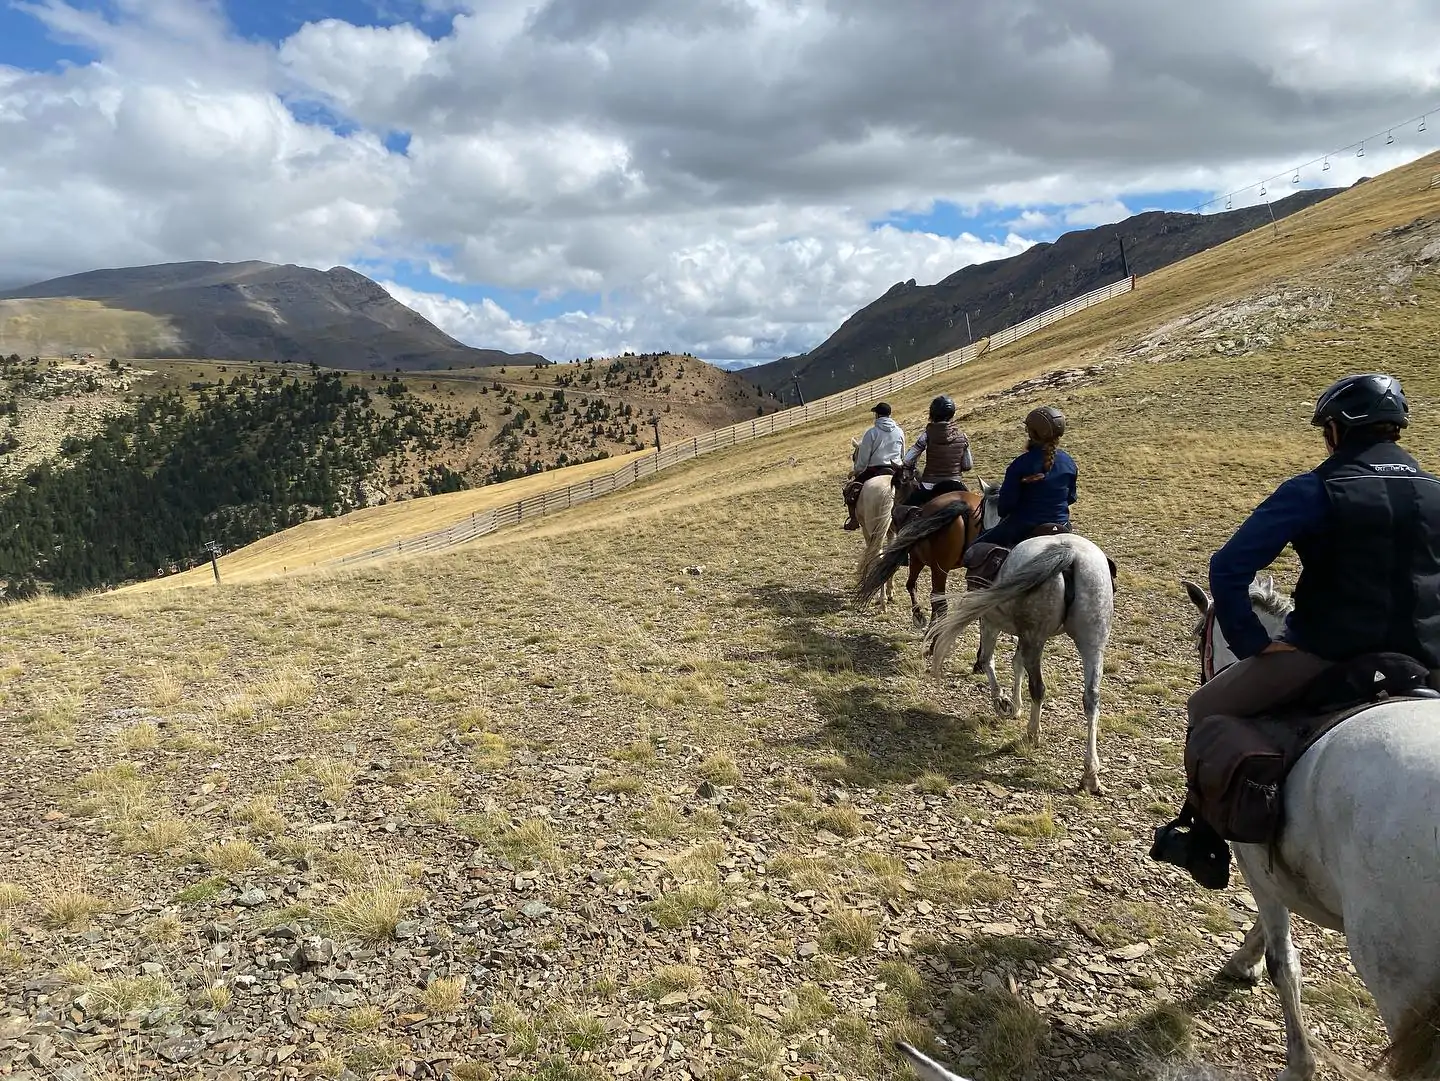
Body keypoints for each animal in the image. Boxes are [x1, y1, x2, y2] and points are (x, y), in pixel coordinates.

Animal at [840, 437, 898, 610]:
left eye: (854, 456)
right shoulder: (890, 532)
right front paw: (891, 591)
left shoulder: (867, 530)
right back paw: (887, 595)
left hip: (874, 529)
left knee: (878, 555)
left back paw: (882, 601)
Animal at [921, 480, 1111, 794]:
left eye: (980, 512)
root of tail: (1068, 553)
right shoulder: (1020, 633)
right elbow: (1015, 663)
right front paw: (1014, 704)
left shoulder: (990, 621)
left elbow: (988, 660)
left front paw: (1003, 703)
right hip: (1092, 642)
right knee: (1091, 698)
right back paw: (1090, 773)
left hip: (1036, 637)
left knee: (1039, 687)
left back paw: (1032, 734)